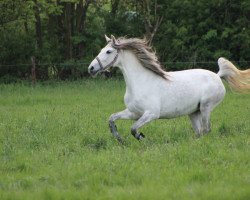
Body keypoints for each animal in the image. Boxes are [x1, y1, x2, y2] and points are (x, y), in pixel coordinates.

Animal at [89, 35, 249, 142]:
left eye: (108, 51)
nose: (91, 68)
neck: (140, 83)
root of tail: (217, 75)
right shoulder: (134, 112)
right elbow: (112, 118)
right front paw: (119, 139)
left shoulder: (151, 114)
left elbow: (133, 129)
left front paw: (142, 137)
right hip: (194, 112)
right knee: (199, 131)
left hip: (206, 107)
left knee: (207, 129)